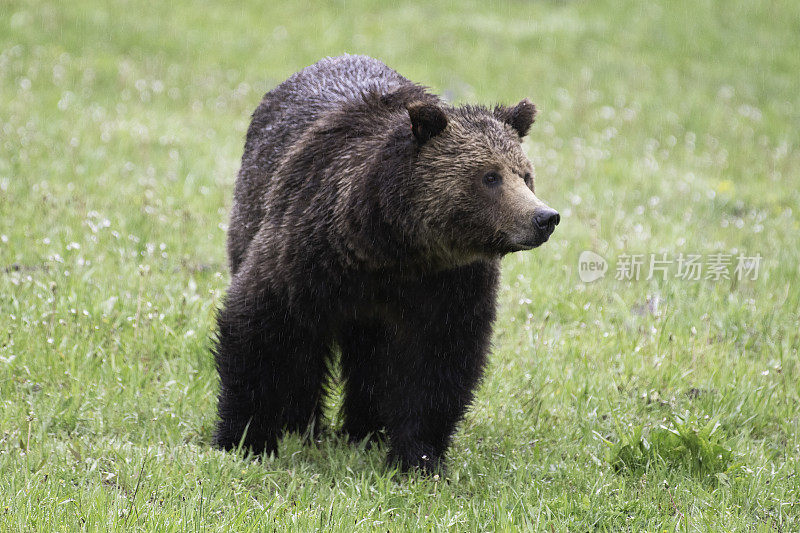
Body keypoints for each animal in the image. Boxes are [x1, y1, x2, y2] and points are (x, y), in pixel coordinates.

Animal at [216, 54, 560, 472]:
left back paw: (365, 430)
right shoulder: (304, 252)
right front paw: (244, 439)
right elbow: (259, 329)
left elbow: (438, 364)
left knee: (373, 360)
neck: (390, 250)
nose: (544, 218)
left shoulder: (450, 284)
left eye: (525, 175)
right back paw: (305, 425)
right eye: (489, 176)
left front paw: (417, 458)